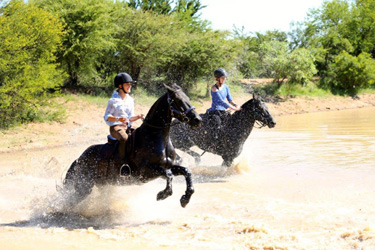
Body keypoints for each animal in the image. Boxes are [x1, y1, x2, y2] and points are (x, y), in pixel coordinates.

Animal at [62, 83, 203, 208]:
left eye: (188, 99)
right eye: (178, 101)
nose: (198, 120)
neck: (158, 138)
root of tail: (79, 158)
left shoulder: (169, 165)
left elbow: (186, 171)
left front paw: (185, 199)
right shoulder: (145, 171)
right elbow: (169, 174)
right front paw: (162, 194)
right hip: (84, 186)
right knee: (70, 201)